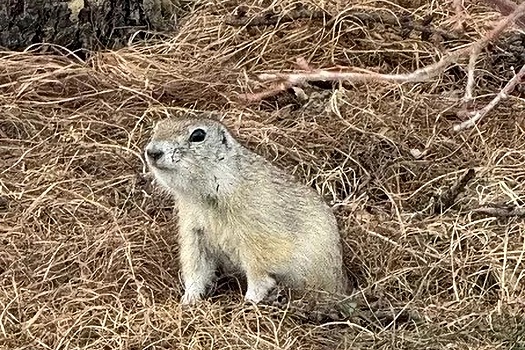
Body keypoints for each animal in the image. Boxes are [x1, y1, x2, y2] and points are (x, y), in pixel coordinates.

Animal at [145, 117, 346, 304]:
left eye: (198, 135)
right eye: (157, 127)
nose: (152, 152)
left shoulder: (256, 235)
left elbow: (259, 272)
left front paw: (250, 300)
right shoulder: (193, 231)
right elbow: (196, 267)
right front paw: (188, 299)